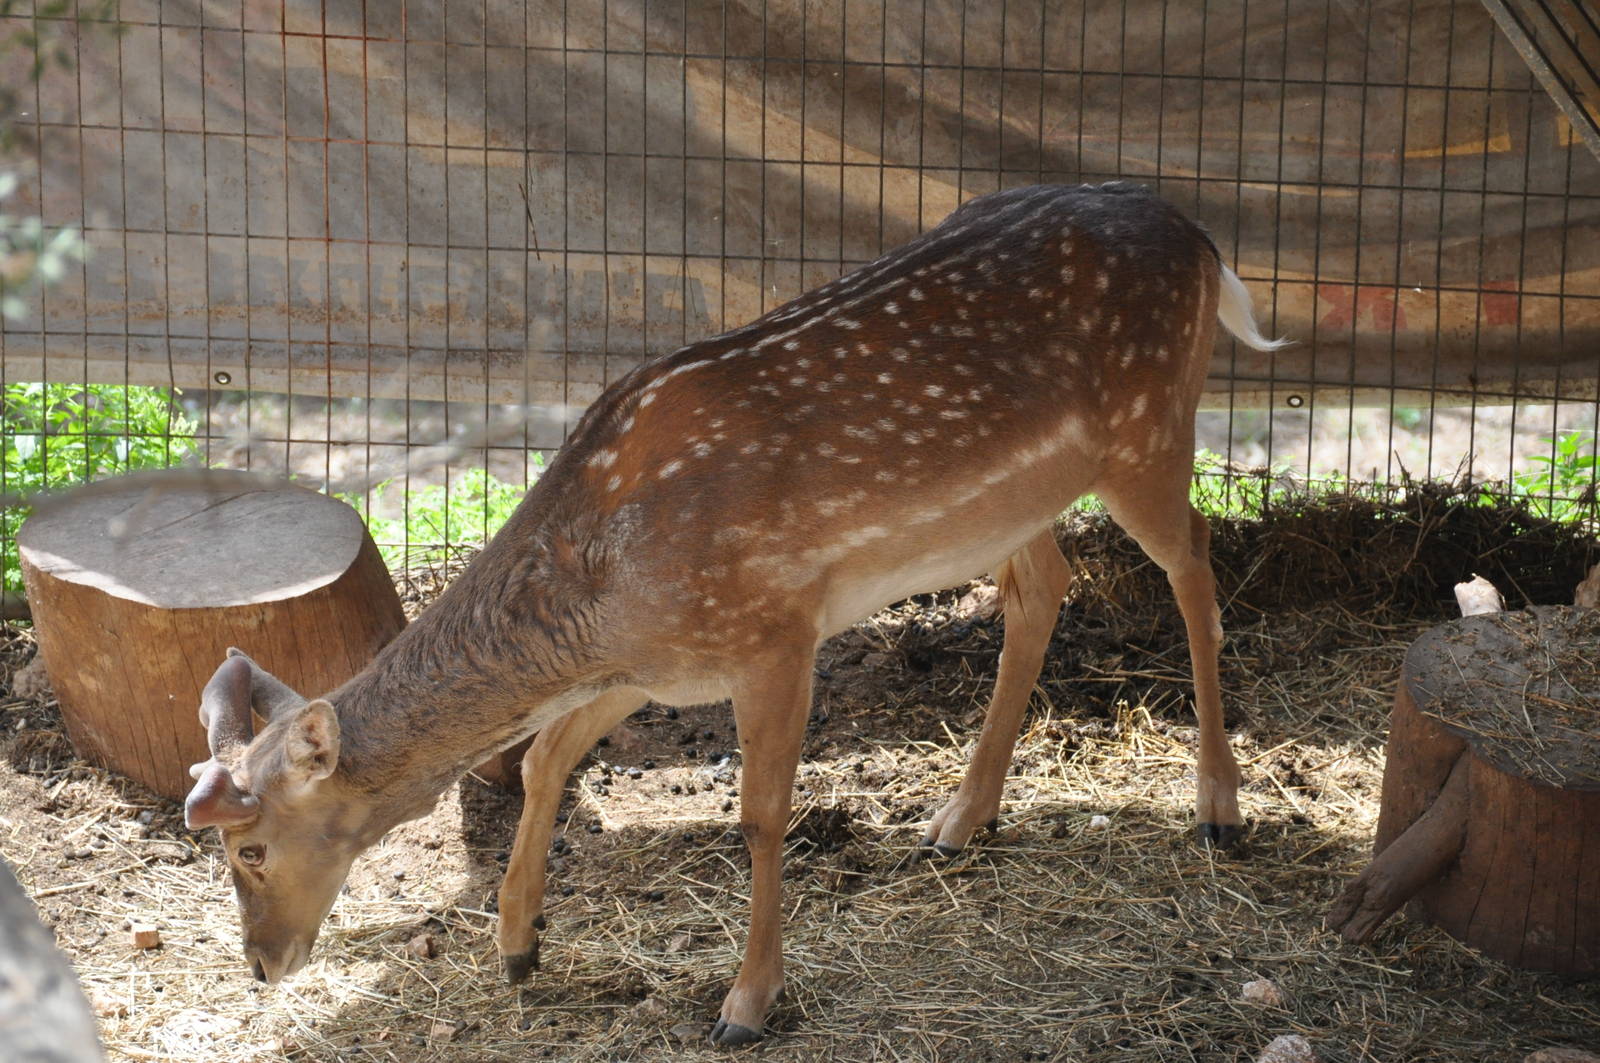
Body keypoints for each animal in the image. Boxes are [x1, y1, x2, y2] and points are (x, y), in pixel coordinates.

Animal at [183, 182, 1285, 1047]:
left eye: (250, 848)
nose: (259, 962)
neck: (599, 588)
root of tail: (1202, 239)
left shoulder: (771, 628)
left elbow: (758, 817)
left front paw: (746, 1003)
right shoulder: (647, 661)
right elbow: (546, 758)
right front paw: (517, 944)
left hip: (1147, 427)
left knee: (1195, 561)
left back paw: (1219, 808)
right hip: (1009, 504)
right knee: (1042, 587)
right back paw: (959, 818)